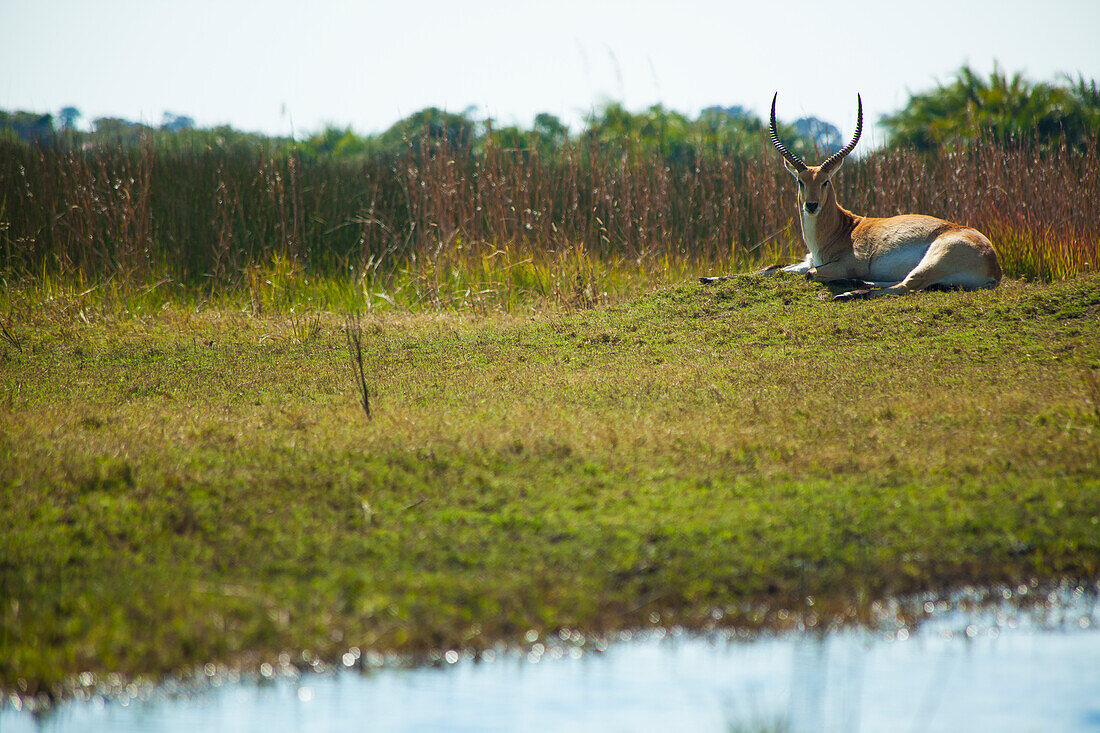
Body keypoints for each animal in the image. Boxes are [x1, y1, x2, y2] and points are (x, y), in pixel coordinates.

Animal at [699, 93, 1003, 299]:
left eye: (826, 181)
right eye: (800, 180)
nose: (811, 205)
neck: (841, 230)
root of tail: (994, 265)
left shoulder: (837, 265)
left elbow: (809, 274)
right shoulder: (808, 260)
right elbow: (770, 268)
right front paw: (707, 277)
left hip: (933, 259)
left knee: (908, 285)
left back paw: (847, 293)